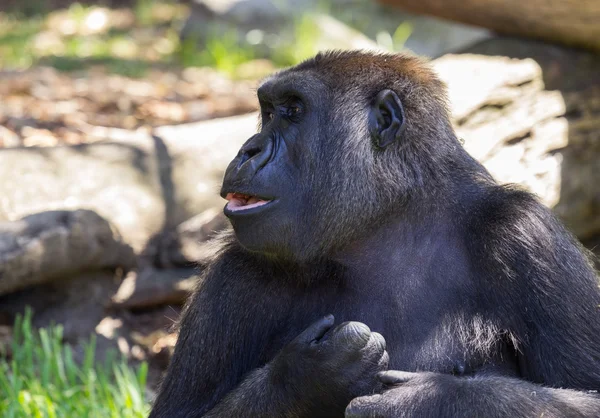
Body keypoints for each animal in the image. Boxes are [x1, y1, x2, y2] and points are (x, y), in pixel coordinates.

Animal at [150, 50, 600, 416]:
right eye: (269, 111)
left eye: (294, 110)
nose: (248, 150)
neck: (388, 224)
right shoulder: (234, 273)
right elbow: (182, 413)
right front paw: (305, 378)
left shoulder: (526, 233)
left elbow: (588, 393)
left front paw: (429, 399)